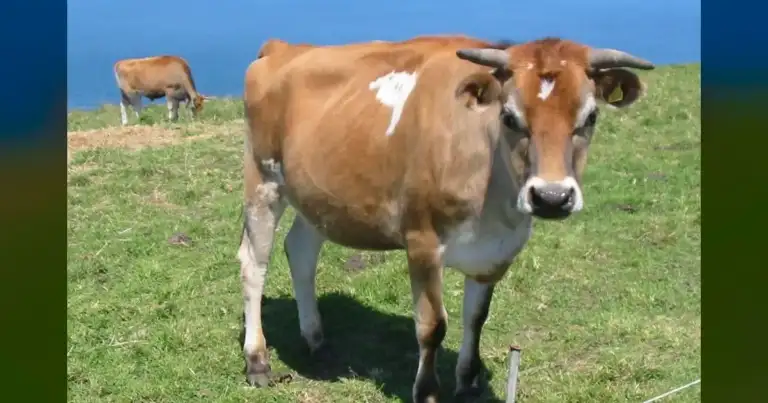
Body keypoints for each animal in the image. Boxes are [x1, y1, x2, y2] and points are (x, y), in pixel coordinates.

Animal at [238, 35, 654, 402]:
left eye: (590, 116)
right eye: (509, 116)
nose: (552, 197)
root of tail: (284, 47)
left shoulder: (496, 251)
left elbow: (477, 317)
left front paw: (468, 381)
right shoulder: (422, 241)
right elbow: (432, 325)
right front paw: (426, 391)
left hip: (317, 195)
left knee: (301, 252)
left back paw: (316, 340)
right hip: (263, 178)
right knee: (254, 263)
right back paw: (258, 361)